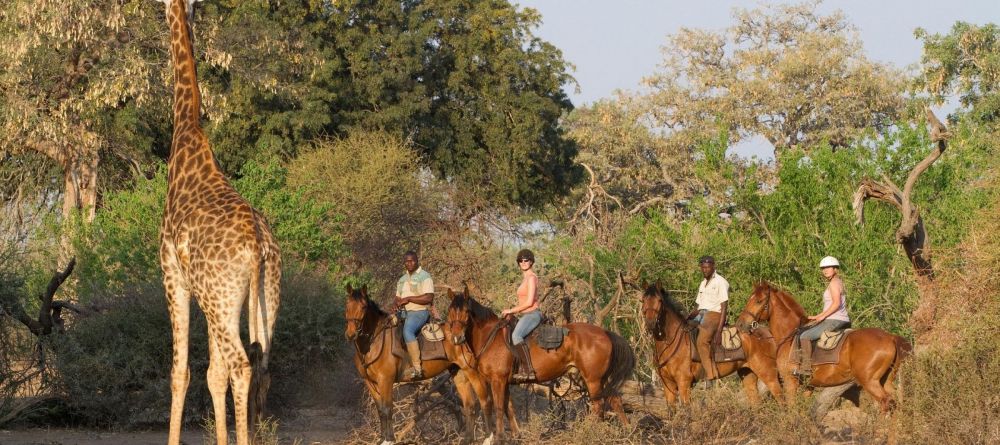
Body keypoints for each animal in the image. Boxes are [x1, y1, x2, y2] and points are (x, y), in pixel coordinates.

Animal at [156, 0, 282, 444]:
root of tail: (258, 245)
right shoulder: (211, 297)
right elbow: (214, 374)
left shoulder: (173, 275)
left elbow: (181, 372)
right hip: (260, 299)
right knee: (259, 366)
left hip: (219, 298)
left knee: (242, 366)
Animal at [346, 284, 494, 444]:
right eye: (347, 305)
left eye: (363, 307)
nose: (351, 334)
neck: (373, 342)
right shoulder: (370, 382)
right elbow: (380, 410)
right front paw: (382, 438)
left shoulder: (386, 380)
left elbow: (387, 409)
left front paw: (389, 440)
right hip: (458, 372)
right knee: (469, 405)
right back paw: (467, 439)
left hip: (471, 370)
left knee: (484, 400)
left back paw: (488, 438)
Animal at [446, 288, 632, 440]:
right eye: (450, 312)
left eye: (466, 311)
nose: (456, 338)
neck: (490, 338)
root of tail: (605, 333)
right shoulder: (505, 382)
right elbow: (508, 407)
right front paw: (516, 436)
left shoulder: (497, 380)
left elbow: (499, 408)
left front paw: (499, 438)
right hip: (601, 378)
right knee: (615, 400)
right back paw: (626, 432)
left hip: (593, 379)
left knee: (598, 406)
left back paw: (590, 433)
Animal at [640, 282, 780, 404]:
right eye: (643, 300)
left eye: (659, 301)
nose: (650, 324)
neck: (671, 343)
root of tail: (768, 333)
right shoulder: (668, 385)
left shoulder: (684, 383)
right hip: (747, 373)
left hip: (769, 375)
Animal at [732, 280, 912, 412]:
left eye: (758, 301)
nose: (740, 324)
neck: (789, 334)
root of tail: (891, 337)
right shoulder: (808, 386)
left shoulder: (790, 381)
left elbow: (792, 411)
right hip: (886, 381)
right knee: (896, 406)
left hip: (870, 382)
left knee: (886, 404)